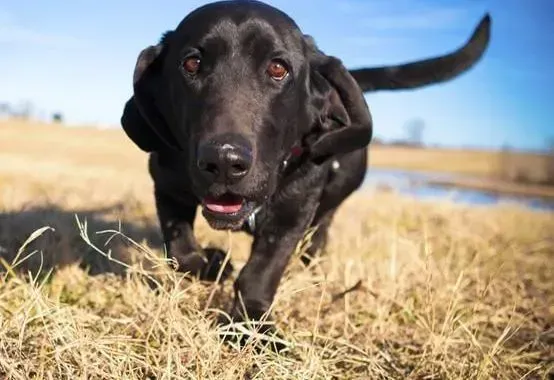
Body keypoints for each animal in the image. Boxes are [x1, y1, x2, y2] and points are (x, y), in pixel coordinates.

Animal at [119, 1, 488, 336]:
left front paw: (254, 326)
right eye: (192, 63)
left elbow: (260, 274)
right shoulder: (168, 185)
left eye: (278, 69)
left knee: (317, 240)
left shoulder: (291, 217)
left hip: (326, 211)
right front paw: (211, 264)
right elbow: (180, 248)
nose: (224, 161)